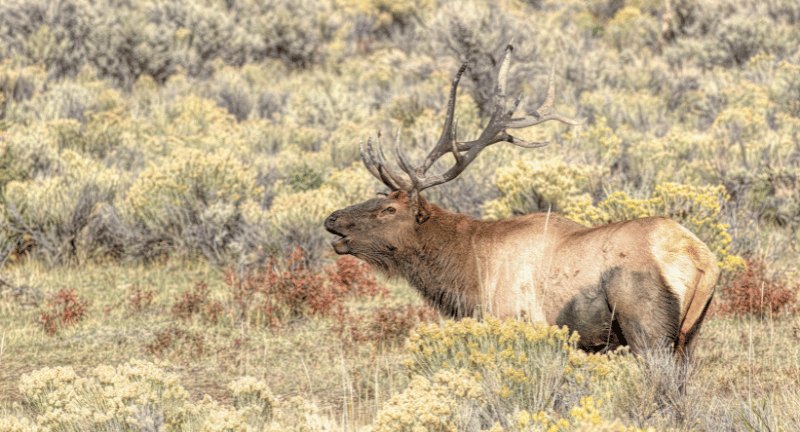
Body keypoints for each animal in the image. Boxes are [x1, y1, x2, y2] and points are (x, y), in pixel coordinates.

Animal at [324, 44, 720, 358]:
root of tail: (699, 257)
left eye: (389, 209)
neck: (470, 272)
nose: (332, 218)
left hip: (646, 326)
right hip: (690, 334)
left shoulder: (519, 324)